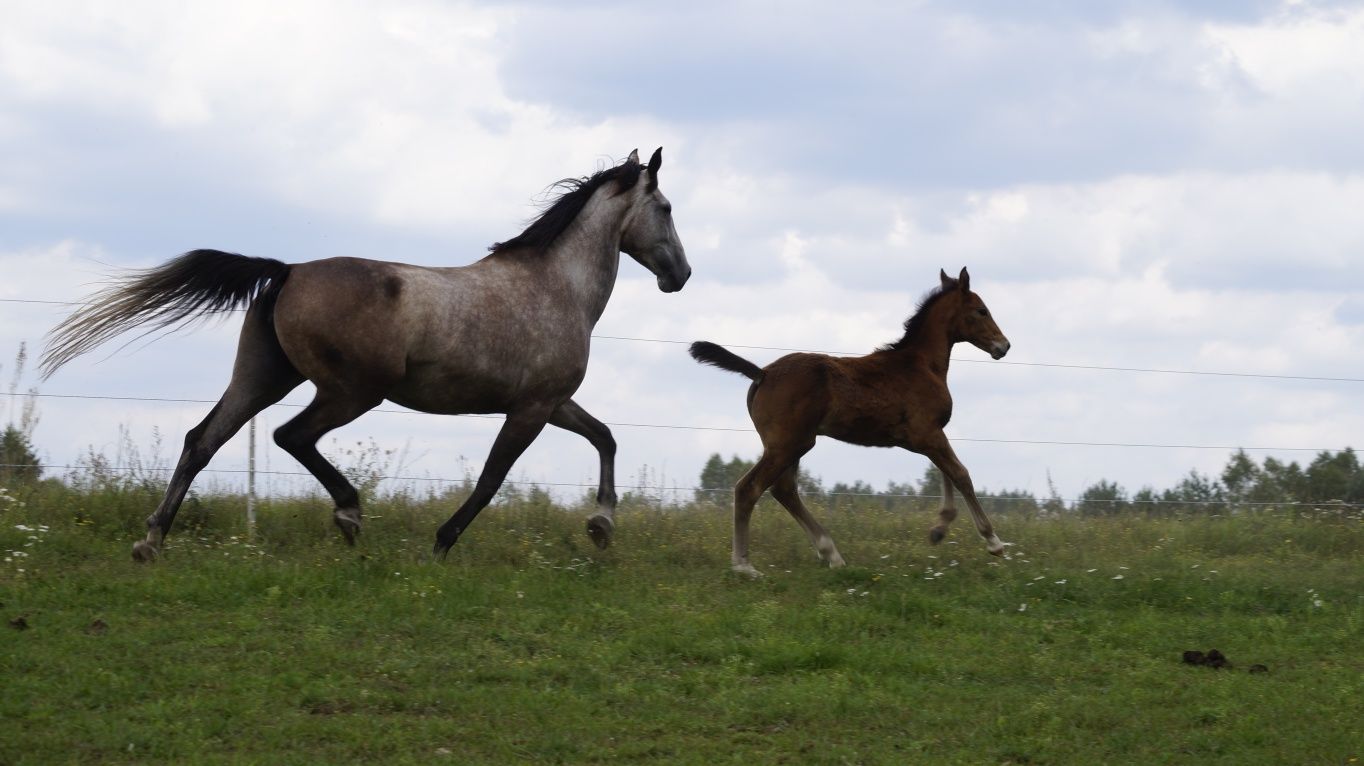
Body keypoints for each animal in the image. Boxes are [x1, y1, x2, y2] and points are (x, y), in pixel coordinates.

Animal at [43, 145, 692, 558]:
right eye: (665, 209)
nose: (680, 274)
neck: (555, 286)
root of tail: (287, 271)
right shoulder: (530, 409)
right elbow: (491, 479)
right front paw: (441, 544)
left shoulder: (553, 402)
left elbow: (605, 437)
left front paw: (602, 527)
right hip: (351, 391)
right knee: (290, 436)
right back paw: (349, 515)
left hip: (263, 378)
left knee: (202, 440)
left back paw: (151, 541)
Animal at [692, 265, 1014, 569]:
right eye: (981, 310)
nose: (1004, 345)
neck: (921, 365)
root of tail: (762, 373)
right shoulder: (927, 433)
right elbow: (960, 474)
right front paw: (993, 541)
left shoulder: (924, 437)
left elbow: (945, 473)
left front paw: (939, 529)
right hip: (788, 445)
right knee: (750, 489)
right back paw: (744, 565)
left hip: (790, 445)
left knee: (784, 491)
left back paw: (831, 554)